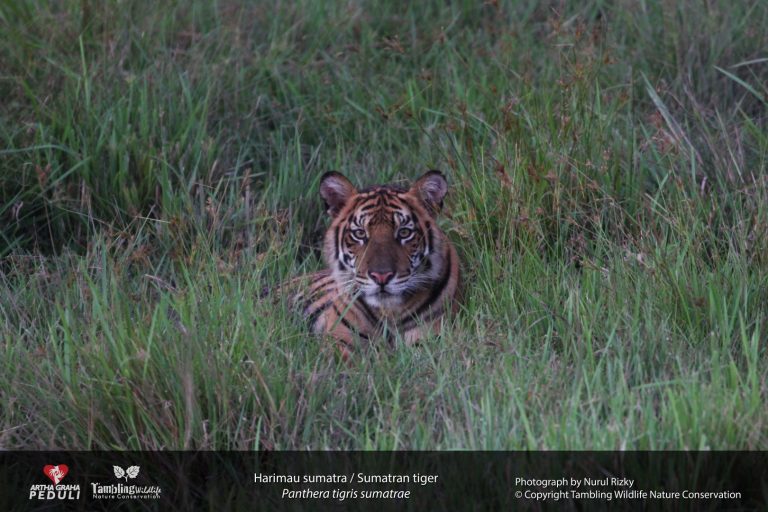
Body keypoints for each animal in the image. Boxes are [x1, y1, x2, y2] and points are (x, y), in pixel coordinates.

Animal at [290, 170, 460, 353]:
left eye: (404, 232)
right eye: (359, 233)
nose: (381, 277)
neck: (388, 312)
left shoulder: (431, 340)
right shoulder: (339, 341)